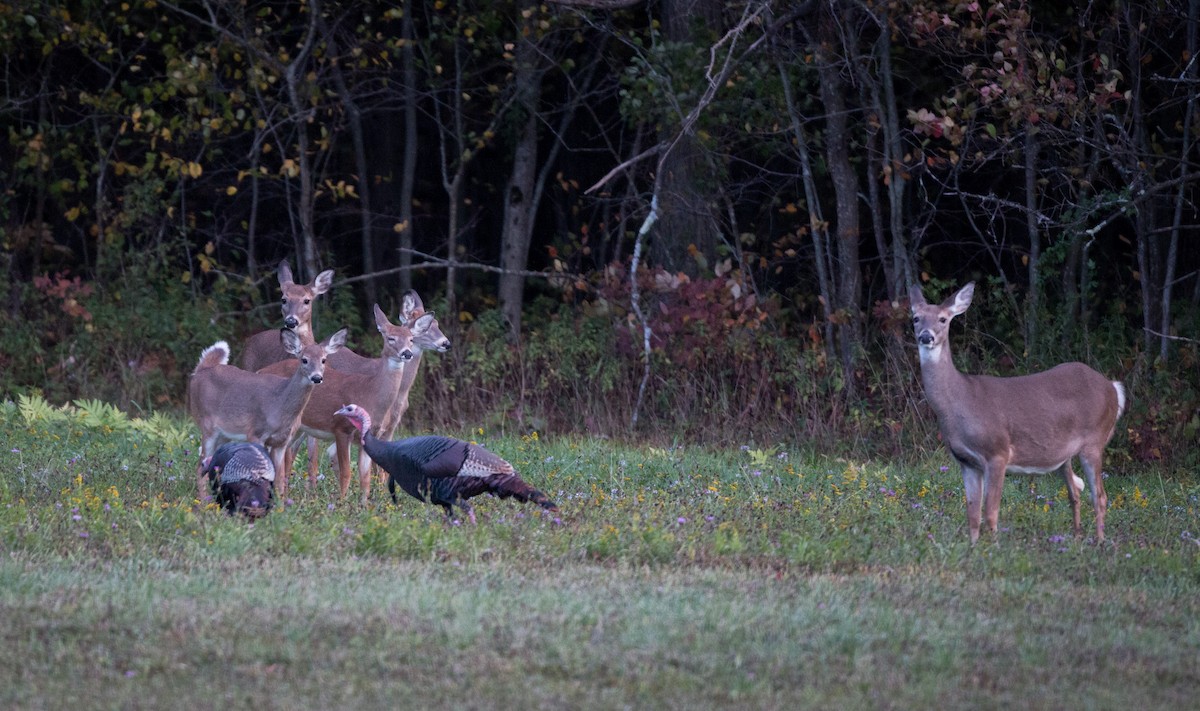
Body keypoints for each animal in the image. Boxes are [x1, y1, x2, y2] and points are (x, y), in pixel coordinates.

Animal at [187, 326, 348, 499]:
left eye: (323, 360)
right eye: (304, 359)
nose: (317, 377)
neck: (279, 404)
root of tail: (200, 371)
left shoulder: (281, 442)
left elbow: (279, 480)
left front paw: (280, 504)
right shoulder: (255, 433)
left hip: (224, 434)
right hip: (207, 427)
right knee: (200, 465)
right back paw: (204, 501)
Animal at [260, 303, 429, 504]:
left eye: (411, 339)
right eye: (391, 338)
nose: (407, 353)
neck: (370, 392)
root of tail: (260, 370)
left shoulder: (369, 435)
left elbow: (365, 476)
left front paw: (364, 505)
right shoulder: (341, 428)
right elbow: (346, 472)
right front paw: (342, 503)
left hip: (298, 429)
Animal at [907, 283, 1123, 545]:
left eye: (943, 319)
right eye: (916, 318)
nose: (926, 336)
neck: (959, 402)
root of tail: (1113, 387)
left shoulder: (998, 452)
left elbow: (991, 512)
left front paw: (993, 548)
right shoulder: (966, 461)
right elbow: (972, 513)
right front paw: (972, 547)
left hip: (1094, 441)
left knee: (1099, 496)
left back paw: (1099, 542)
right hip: (1065, 455)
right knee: (1075, 492)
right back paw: (1076, 538)